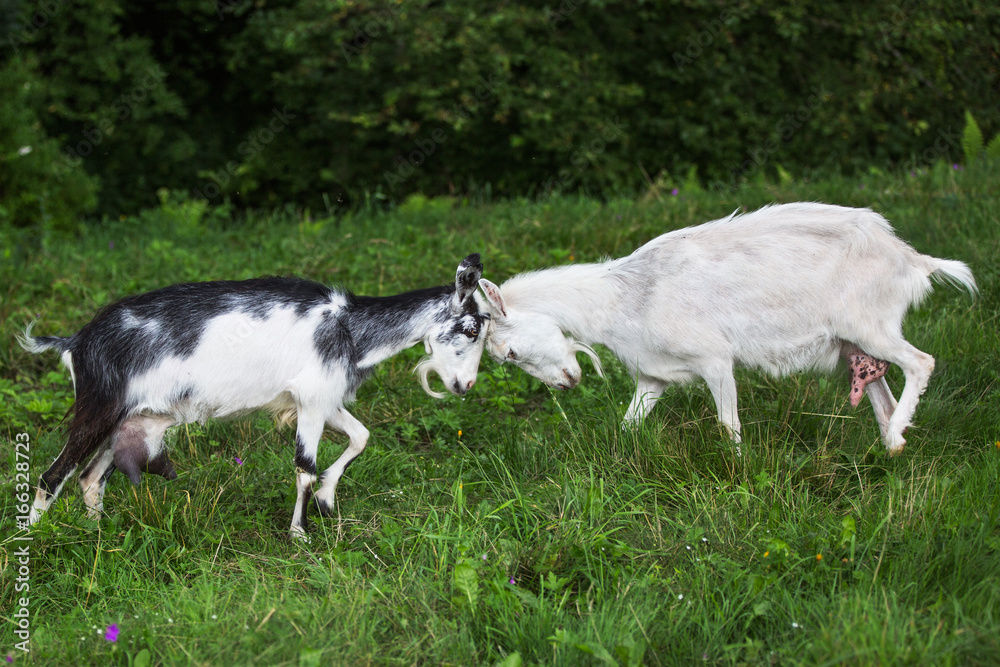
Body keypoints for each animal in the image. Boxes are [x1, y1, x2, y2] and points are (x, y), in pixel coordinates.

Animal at [19, 255, 488, 538]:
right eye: (470, 329)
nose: (465, 386)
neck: (349, 326)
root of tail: (77, 341)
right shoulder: (312, 400)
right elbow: (304, 468)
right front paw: (299, 534)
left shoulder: (320, 400)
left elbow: (361, 437)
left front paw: (327, 500)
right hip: (98, 408)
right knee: (51, 476)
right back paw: (33, 543)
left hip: (127, 421)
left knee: (89, 478)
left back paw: (98, 536)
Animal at [477, 203, 977, 453]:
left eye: (509, 353)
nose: (565, 384)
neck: (623, 298)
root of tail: (912, 260)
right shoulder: (653, 376)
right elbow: (628, 426)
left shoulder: (715, 360)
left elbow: (727, 426)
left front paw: (740, 475)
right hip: (853, 346)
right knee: (881, 393)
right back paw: (894, 445)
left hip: (873, 326)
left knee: (922, 362)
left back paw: (895, 434)